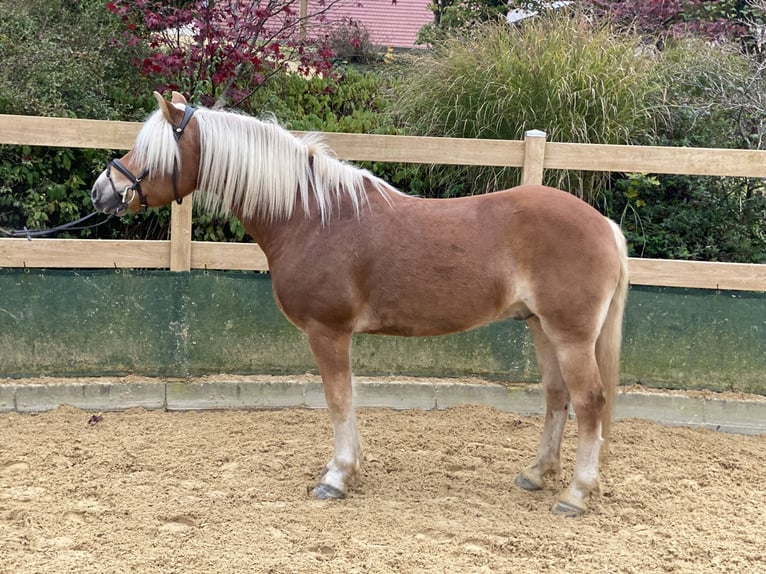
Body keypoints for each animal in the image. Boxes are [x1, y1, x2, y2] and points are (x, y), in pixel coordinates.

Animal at [91, 91, 632, 516]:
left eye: (149, 150)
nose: (103, 191)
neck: (311, 216)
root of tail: (606, 226)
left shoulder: (327, 331)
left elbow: (338, 400)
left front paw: (336, 476)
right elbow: (348, 398)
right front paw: (349, 470)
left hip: (570, 335)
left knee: (589, 401)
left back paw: (576, 494)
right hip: (541, 328)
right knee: (557, 397)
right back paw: (537, 474)